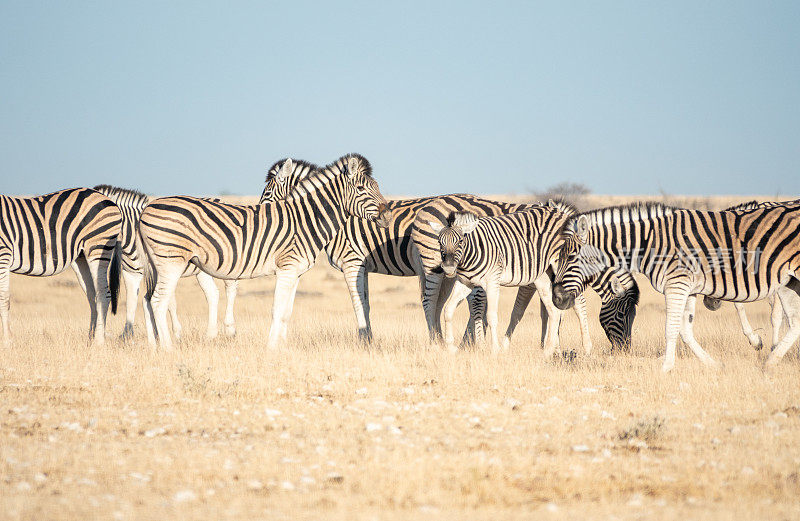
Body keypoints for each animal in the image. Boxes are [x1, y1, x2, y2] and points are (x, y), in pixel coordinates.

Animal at [0, 188, 122, 346]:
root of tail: (108, 199)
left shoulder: (3, 254)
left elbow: (3, 299)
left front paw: (7, 341)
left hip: (98, 247)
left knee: (103, 294)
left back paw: (98, 342)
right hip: (81, 258)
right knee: (92, 295)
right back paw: (90, 338)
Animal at [92, 185, 239, 340]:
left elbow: (168, 302)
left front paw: (175, 333)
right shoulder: (131, 274)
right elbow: (132, 303)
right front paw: (127, 335)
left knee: (230, 289)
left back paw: (230, 329)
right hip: (202, 271)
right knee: (212, 293)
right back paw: (211, 334)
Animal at [139, 154, 392, 350]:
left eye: (378, 187)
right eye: (361, 188)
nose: (388, 216)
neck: (304, 219)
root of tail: (148, 207)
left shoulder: (296, 272)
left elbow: (287, 311)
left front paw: (282, 347)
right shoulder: (287, 267)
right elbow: (277, 309)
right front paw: (271, 348)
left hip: (159, 264)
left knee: (150, 299)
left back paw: (156, 346)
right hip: (171, 261)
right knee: (159, 301)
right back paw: (168, 348)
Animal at [552, 202, 800, 370]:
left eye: (571, 257)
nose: (556, 299)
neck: (651, 243)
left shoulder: (677, 284)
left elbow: (671, 328)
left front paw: (665, 368)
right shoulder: (686, 288)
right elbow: (685, 329)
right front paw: (712, 364)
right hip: (789, 281)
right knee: (795, 321)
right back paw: (769, 363)